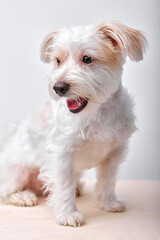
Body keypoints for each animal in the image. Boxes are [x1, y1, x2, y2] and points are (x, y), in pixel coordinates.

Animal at [0, 21, 147, 227]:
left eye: (87, 58)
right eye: (58, 61)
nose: (58, 87)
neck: (96, 113)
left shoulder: (114, 153)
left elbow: (107, 180)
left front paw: (108, 203)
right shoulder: (61, 154)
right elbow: (64, 186)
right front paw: (67, 214)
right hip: (19, 171)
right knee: (5, 191)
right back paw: (23, 196)